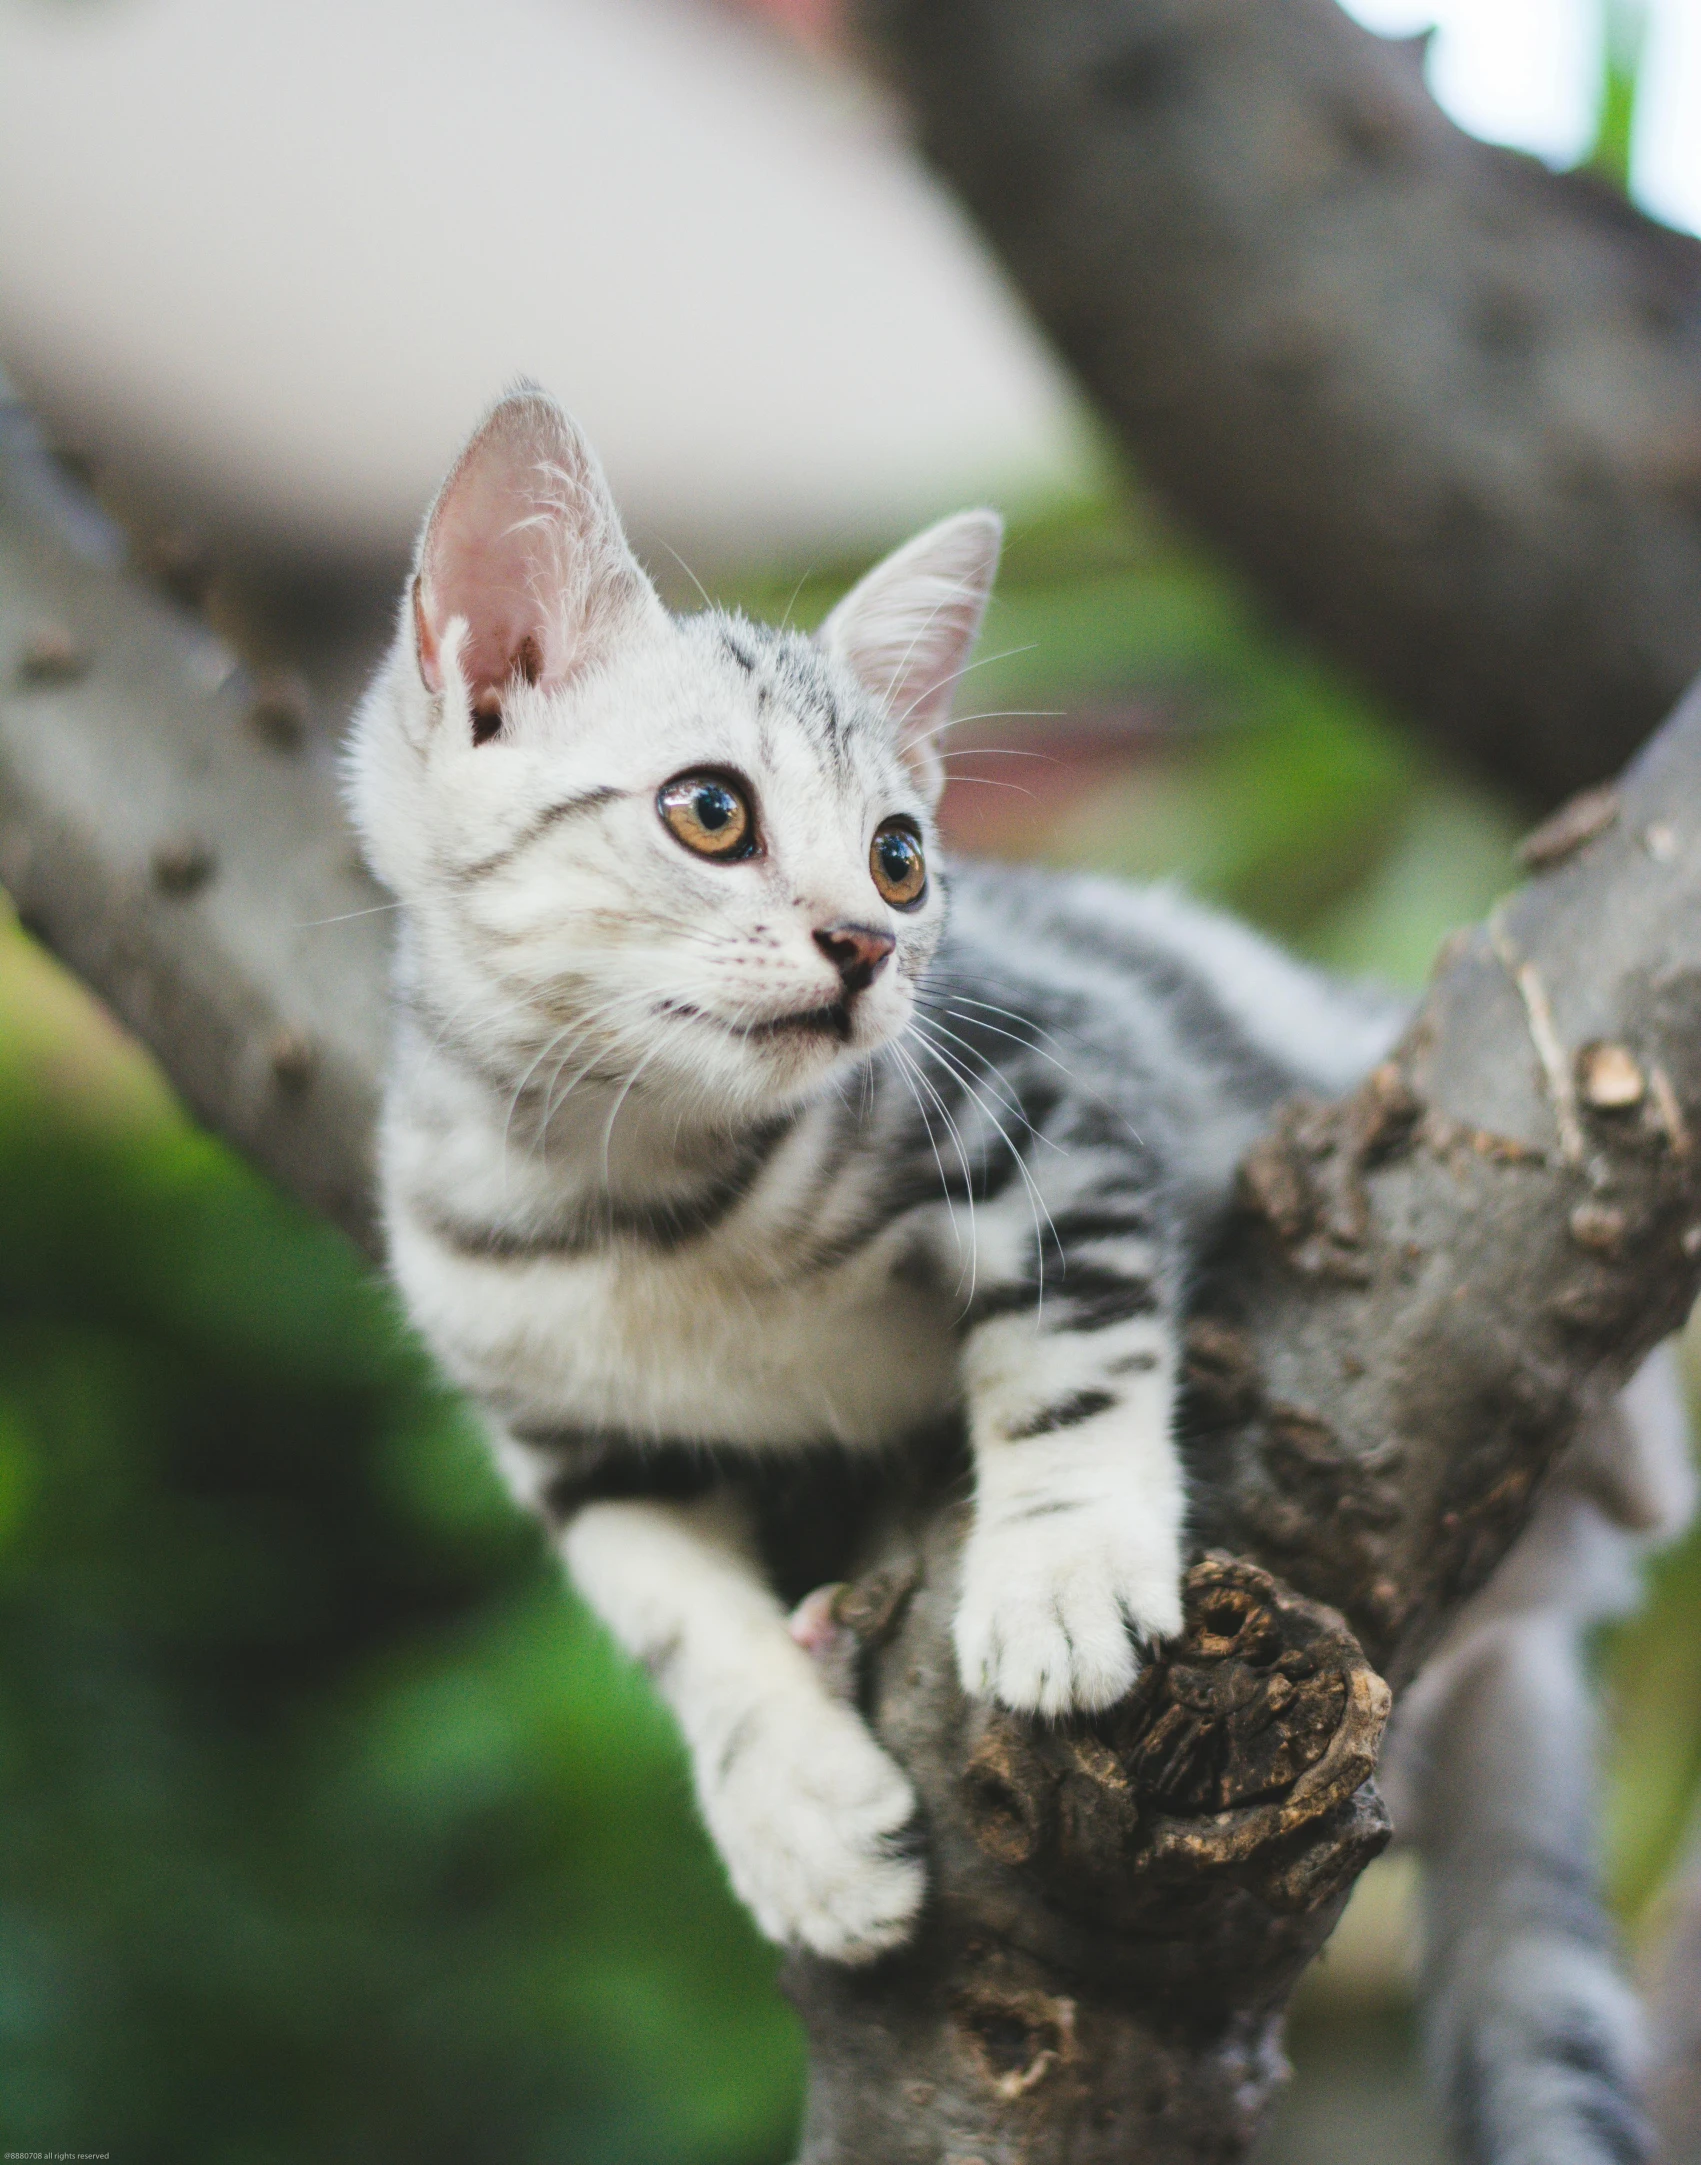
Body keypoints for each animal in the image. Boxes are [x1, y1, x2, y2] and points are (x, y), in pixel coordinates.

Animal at [348, 389, 1679, 2165]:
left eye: (902, 858)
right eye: (712, 812)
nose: (864, 947)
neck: (654, 1204)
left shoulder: (1054, 1106)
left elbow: (1071, 1353)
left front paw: (1055, 1573)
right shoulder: (552, 1418)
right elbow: (667, 1609)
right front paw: (790, 1800)